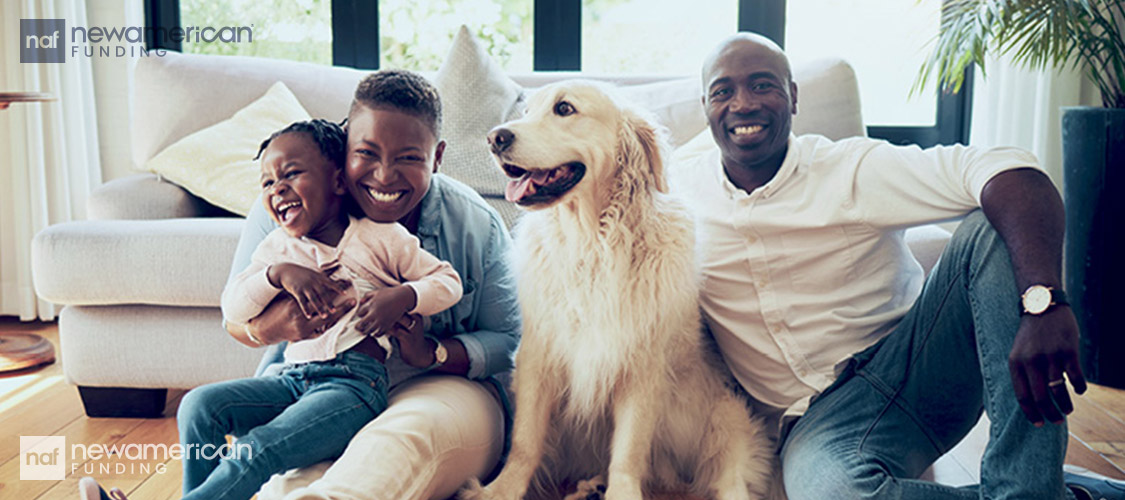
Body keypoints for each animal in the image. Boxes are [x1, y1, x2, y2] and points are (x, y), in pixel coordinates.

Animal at [456, 82, 774, 500]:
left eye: (564, 108)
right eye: (526, 111)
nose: (495, 138)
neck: (592, 242)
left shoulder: (642, 365)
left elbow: (628, 451)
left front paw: (620, 491)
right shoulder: (538, 354)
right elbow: (525, 441)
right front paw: (500, 490)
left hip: (728, 418)